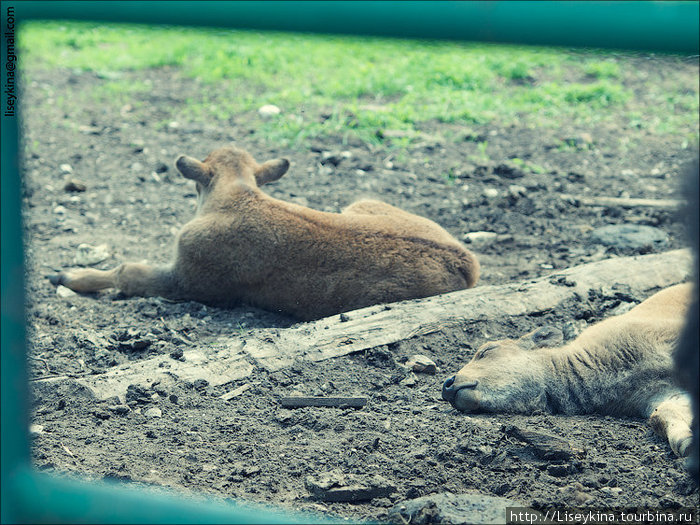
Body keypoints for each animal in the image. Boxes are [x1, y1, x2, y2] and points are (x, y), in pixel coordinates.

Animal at [50, 145, 482, 322]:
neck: (237, 194)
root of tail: (467, 262)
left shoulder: (188, 281)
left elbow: (127, 273)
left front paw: (66, 275)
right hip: (362, 202)